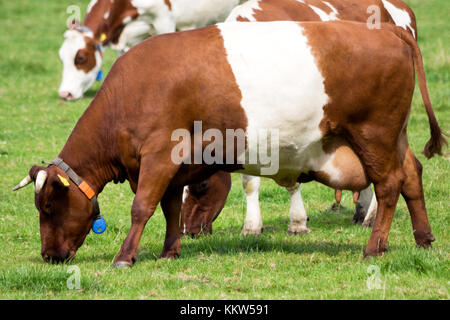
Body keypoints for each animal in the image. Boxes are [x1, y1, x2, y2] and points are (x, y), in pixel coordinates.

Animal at [14, 19, 446, 264]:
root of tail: (389, 29)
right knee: (411, 175)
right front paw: (170, 251)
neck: (130, 94)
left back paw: (374, 247)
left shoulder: (158, 157)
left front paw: (125, 257)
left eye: (48, 206)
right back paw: (423, 239)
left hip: (374, 133)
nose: (49, 256)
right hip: (394, 137)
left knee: (388, 186)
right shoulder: (170, 168)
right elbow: (171, 208)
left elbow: (142, 208)